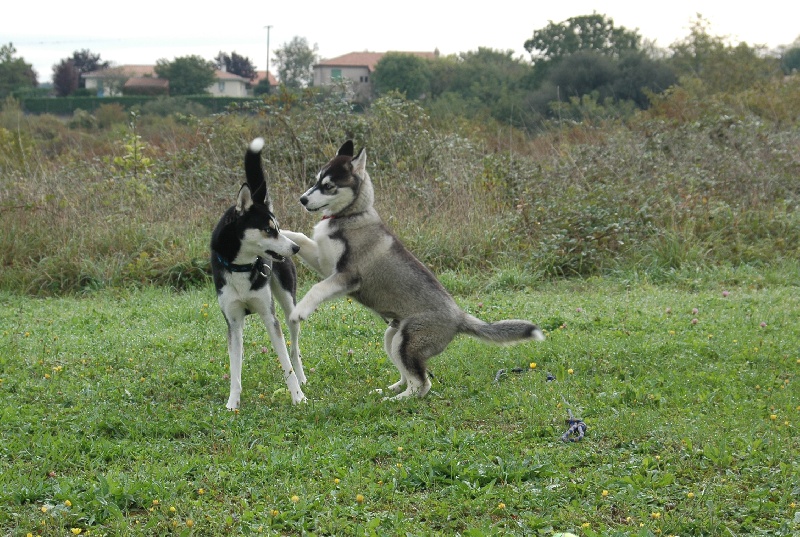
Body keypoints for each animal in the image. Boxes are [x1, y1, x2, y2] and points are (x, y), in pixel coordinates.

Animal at [209, 138, 306, 410]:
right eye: (268, 230)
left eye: (278, 228)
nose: (295, 248)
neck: (241, 267)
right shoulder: (233, 322)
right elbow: (235, 369)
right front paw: (233, 403)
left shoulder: (270, 317)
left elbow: (286, 364)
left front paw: (298, 397)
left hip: (289, 306)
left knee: (294, 350)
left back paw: (303, 378)